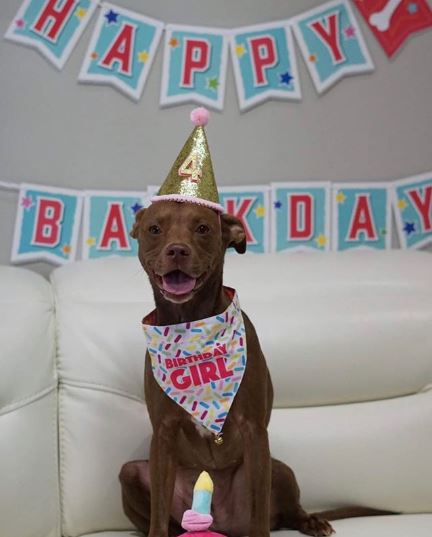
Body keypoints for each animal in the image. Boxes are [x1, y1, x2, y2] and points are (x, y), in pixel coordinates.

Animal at [119, 201, 388, 536]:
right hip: (129, 473)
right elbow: (158, 512)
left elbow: (259, 507)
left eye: (203, 228)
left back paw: (311, 521)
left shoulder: (254, 431)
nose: (177, 250)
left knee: (287, 512)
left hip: (278, 468)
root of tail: (221, 522)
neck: (191, 323)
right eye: (155, 229)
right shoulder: (163, 434)